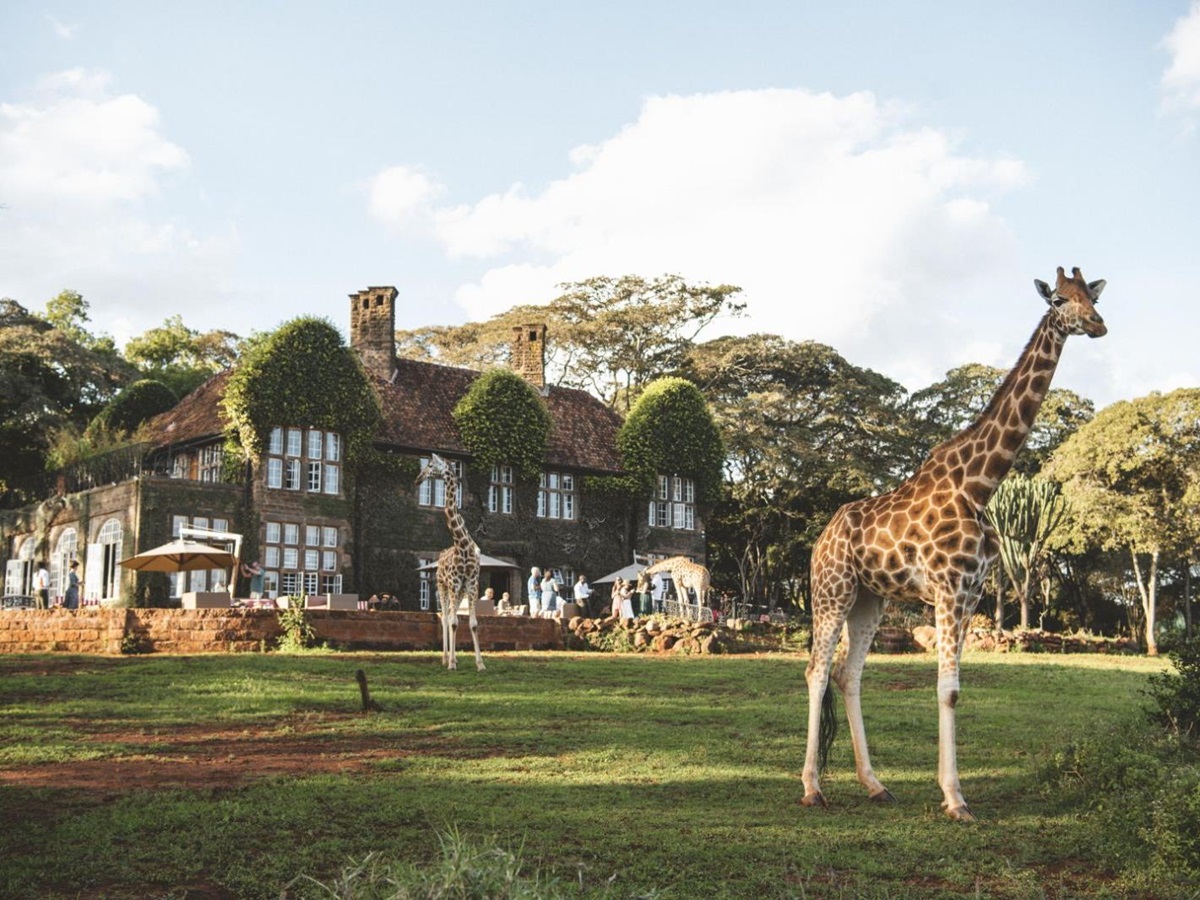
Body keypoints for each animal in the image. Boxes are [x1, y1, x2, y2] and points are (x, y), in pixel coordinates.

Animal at [415, 454, 485, 671]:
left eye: (430, 465)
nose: (418, 479)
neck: (462, 543)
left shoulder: (471, 583)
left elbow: (473, 623)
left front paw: (480, 663)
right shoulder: (453, 583)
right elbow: (453, 622)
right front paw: (452, 663)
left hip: (459, 590)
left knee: (449, 617)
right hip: (442, 586)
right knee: (445, 617)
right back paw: (446, 658)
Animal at [802, 267, 1107, 821]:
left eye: (1091, 297)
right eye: (1058, 299)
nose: (1098, 325)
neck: (981, 484)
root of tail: (822, 537)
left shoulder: (971, 593)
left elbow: (955, 690)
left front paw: (952, 793)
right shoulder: (947, 589)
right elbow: (947, 691)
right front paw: (954, 798)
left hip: (871, 598)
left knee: (848, 675)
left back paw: (875, 784)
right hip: (832, 589)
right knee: (816, 671)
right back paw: (813, 787)